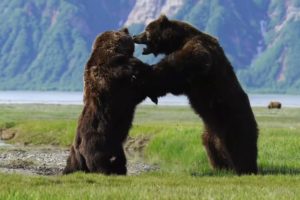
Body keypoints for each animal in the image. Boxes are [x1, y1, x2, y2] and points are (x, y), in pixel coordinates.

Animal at [63, 28, 157, 175]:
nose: (131, 33)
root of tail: (78, 149)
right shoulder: (113, 76)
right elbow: (132, 83)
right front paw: (143, 67)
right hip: (98, 142)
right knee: (101, 161)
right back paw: (107, 171)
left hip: (110, 148)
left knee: (117, 160)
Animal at [134, 15, 258, 175]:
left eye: (147, 29)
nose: (135, 36)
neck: (179, 40)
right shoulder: (191, 82)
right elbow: (177, 83)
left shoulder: (199, 51)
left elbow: (180, 66)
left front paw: (144, 72)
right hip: (210, 129)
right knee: (211, 145)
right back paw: (221, 168)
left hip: (233, 118)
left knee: (239, 145)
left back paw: (245, 169)